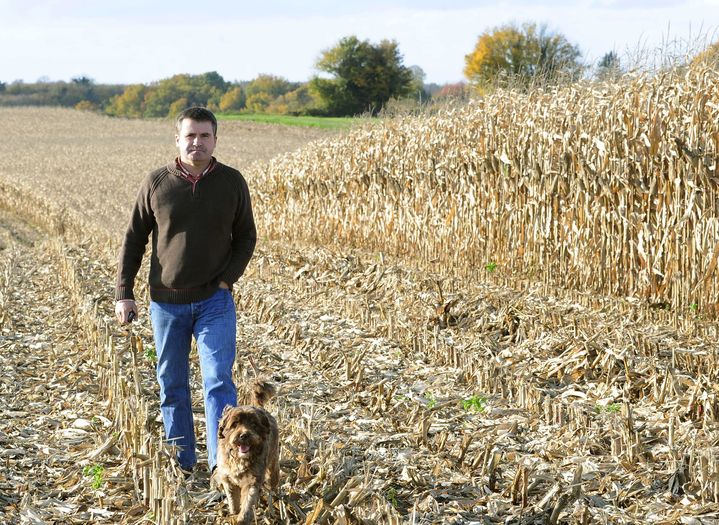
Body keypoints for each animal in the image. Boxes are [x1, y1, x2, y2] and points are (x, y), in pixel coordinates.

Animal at [212, 378, 280, 520]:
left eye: (254, 424)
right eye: (234, 424)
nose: (244, 435)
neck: (239, 458)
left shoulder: (252, 480)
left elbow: (248, 501)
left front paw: (243, 518)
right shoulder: (228, 479)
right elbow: (233, 500)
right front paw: (234, 513)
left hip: (273, 466)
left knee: (272, 486)